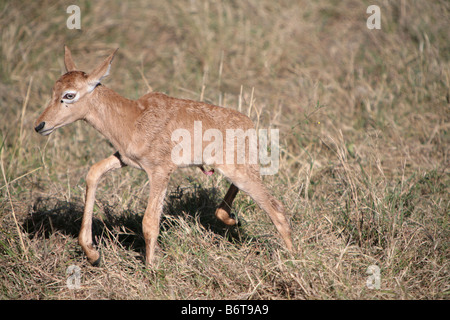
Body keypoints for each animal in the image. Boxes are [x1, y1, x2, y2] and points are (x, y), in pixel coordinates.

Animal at [36, 46, 296, 266]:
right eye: (54, 90)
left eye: (69, 95)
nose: (40, 125)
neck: (133, 117)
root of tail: (249, 123)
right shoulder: (124, 159)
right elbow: (93, 173)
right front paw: (92, 253)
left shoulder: (160, 171)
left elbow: (149, 221)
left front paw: (151, 270)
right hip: (231, 169)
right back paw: (230, 219)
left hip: (240, 171)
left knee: (276, 209)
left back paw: (293, 260)